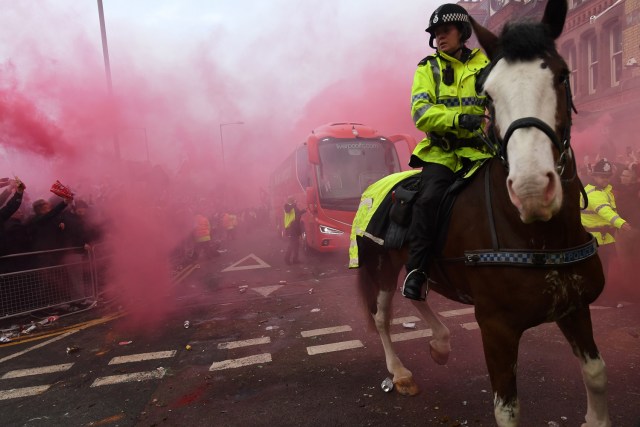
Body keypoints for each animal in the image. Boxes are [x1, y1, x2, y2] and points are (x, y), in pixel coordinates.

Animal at [356, 0, 608, 427]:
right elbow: (507, 408)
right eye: (488, 93)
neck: (538, 236)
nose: (531, 189)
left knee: (416, 292)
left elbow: (595, 375)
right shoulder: (496, 327)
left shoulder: (575, 308)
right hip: (380, 264)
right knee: (381, 316)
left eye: (562, 75)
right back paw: (401, 373)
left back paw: (440, 343)